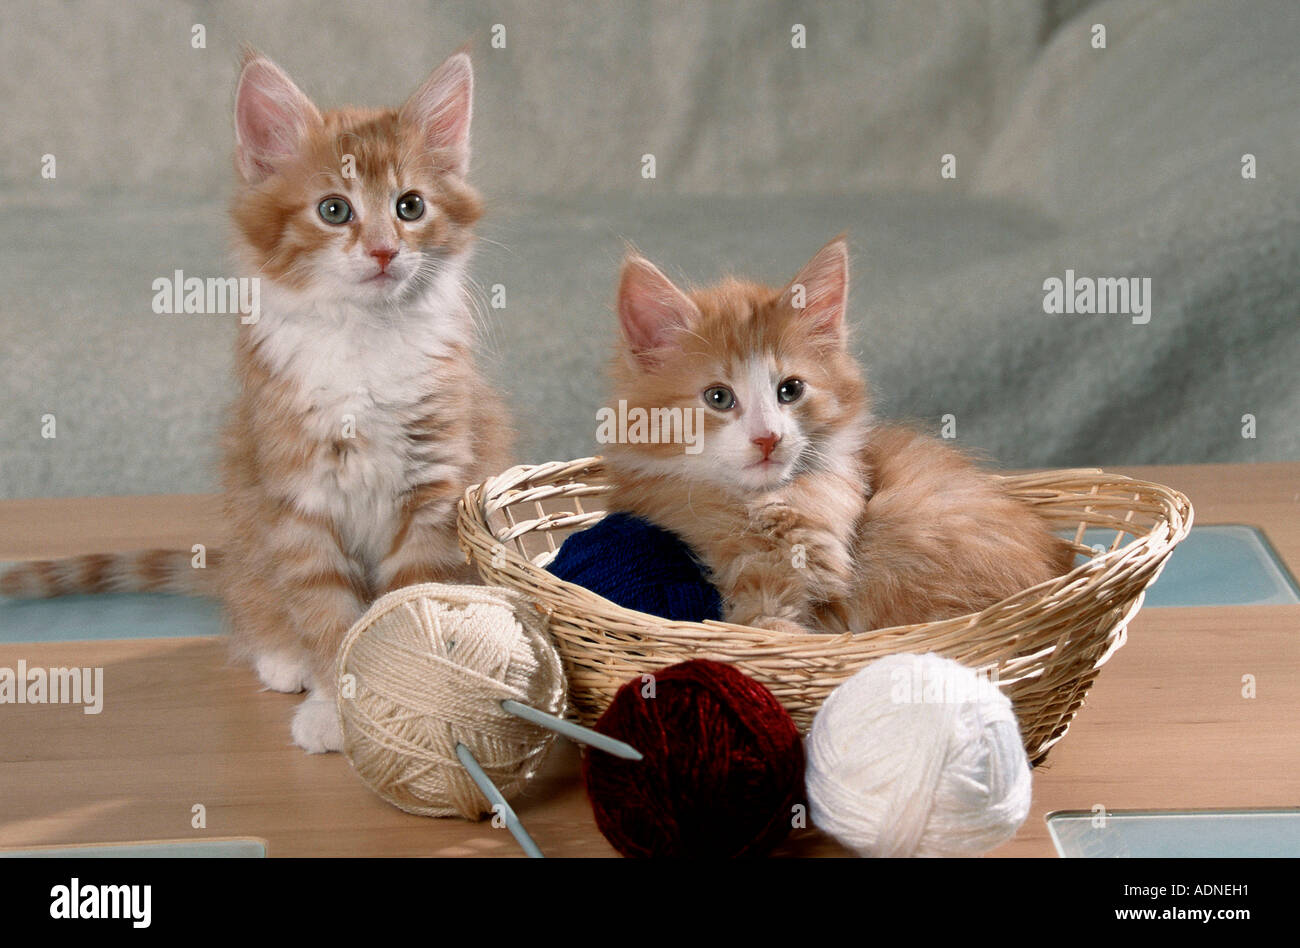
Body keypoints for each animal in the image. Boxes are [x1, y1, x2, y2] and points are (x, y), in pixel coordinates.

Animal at [0, 51, 506, 749]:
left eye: (410, 206)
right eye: (334, 210)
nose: (383, 250)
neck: (363, 340)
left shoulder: (433, 489)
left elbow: (412, 607)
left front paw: (416, 711)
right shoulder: (296, 495)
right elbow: (325, 612)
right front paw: (336, 707)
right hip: (250, 534)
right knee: (259, 607)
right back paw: (282, 658)